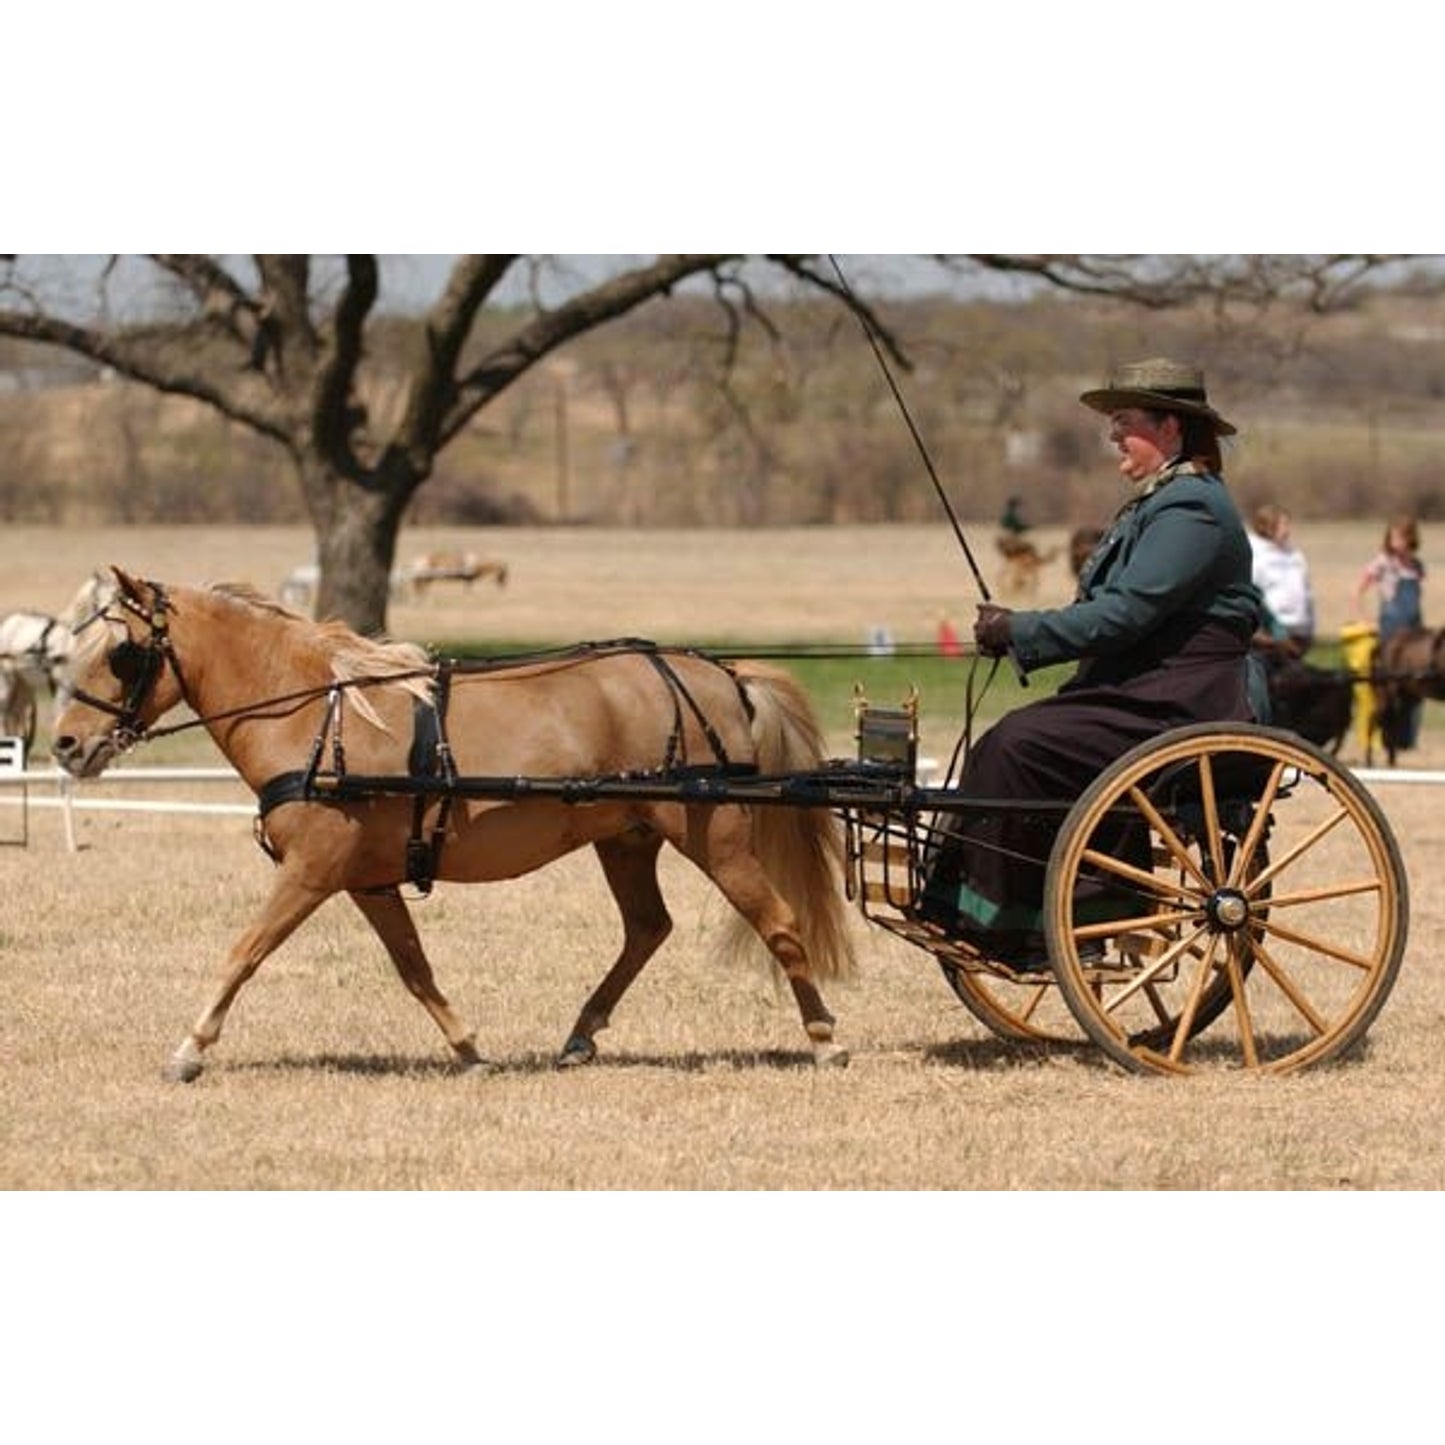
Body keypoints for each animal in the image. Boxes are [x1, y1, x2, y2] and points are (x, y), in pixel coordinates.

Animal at [51, 568, 857, 1083]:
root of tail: (721, 673)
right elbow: (415, 968)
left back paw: (823, 1038)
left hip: (712, 832)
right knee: (646, 928)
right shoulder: (369, 882)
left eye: (121, 652)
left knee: (778, 921)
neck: (317, 716)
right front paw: (469, 1050)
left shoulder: (311, 872)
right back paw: (581, 1033)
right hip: (625, 838)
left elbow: (244, 952)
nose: (64, 744)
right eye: (69, 649)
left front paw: (189, 1049)